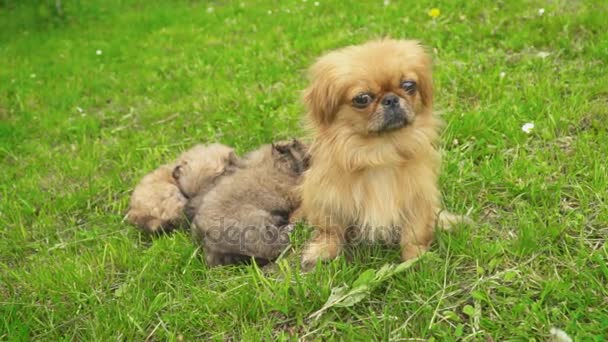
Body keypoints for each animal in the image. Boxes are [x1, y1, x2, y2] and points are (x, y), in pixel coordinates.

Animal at [300, 38, 470, 268]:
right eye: (362, 98)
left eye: (409, 86)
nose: (391, 99)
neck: (380, 152)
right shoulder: (328, 198)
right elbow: (330, 230)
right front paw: (323, 250)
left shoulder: (417, 198)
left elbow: (414, 233)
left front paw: (416, 257)